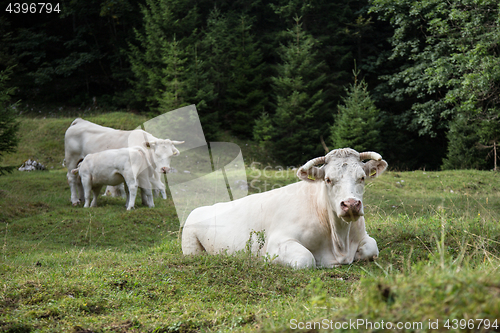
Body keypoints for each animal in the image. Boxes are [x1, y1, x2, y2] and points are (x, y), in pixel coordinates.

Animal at [182, 148, 388, 268]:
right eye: (328, 179)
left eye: (362, 177)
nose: (351, 204)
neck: (339, 242)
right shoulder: (277, 242)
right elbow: (306, 259)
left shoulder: (363, 235)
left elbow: (372, 248)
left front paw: (359, 254)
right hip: (190, 246)